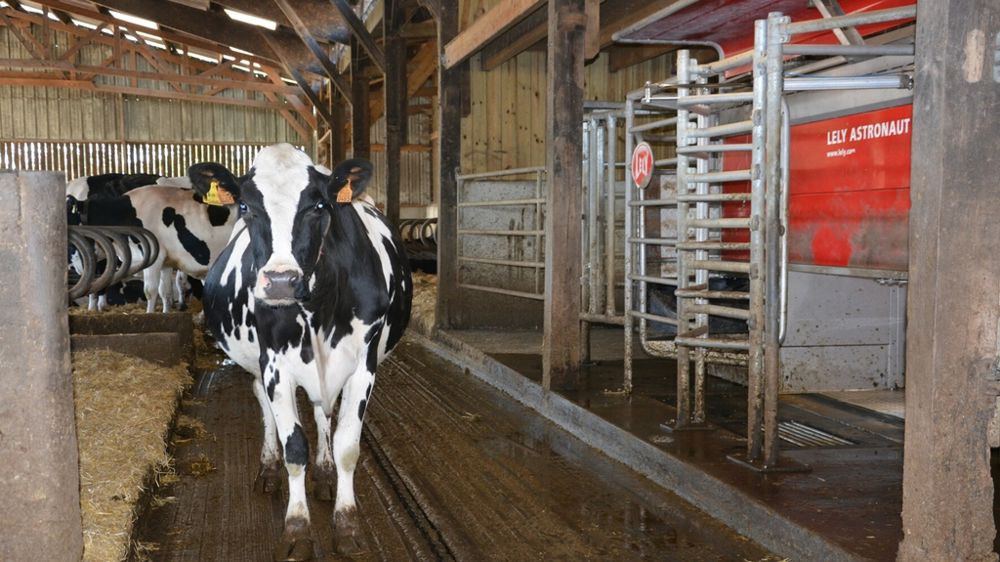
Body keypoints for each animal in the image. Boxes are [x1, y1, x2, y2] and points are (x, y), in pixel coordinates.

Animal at [191, 144, 411, 560]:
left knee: (322, 411)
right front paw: (296, 529)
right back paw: (268, 469)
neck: (318, 306)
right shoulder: (276, 366)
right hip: (258, 364)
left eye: (319, 205)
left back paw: (323, 474)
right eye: (245, 206)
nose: (280, 281)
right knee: (264, 402)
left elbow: (346, 445)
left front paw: (347, 524)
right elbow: (294, 447)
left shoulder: (363, 365)